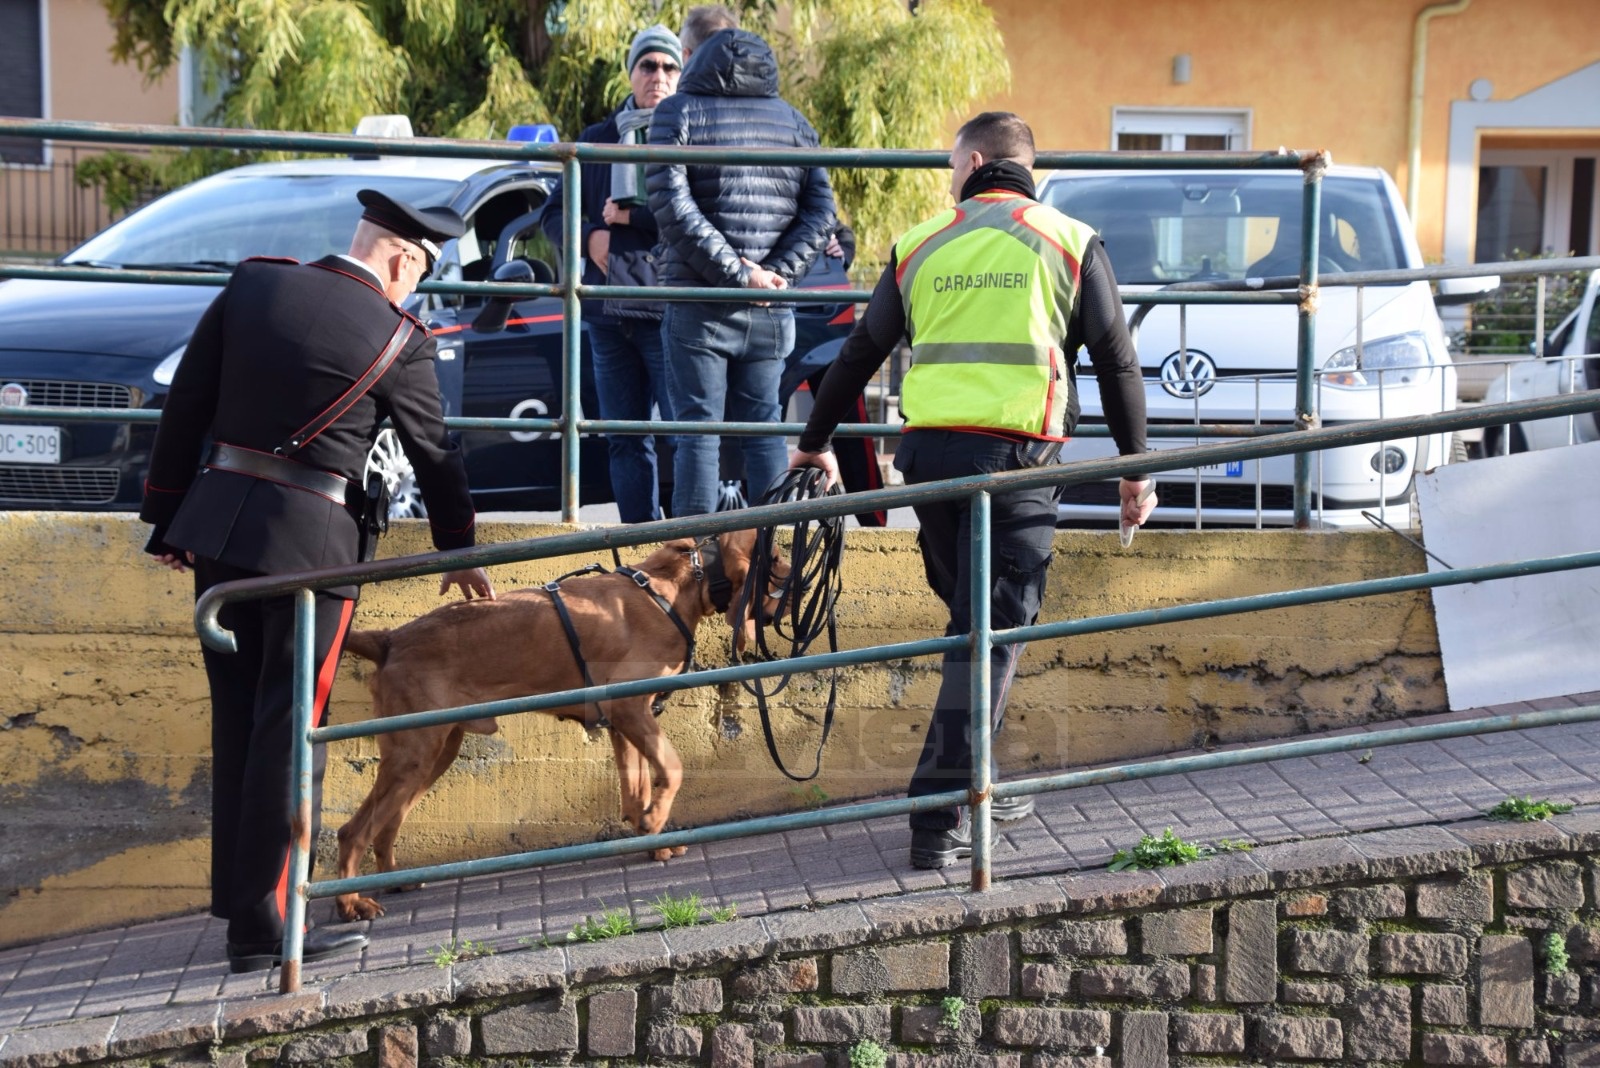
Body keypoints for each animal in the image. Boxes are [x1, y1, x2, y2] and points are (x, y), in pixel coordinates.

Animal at [332, 530, 787, 920]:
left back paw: (397, 880)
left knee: (386, 823)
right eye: (779, 559)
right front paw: (655, 822)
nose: (783, 606)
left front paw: (652, 837)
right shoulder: (628, 707)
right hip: (415, 751)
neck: (678, 585)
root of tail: (389, 639)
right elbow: (672, 769)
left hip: (435, 750)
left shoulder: (625, 722)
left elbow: (637, 788)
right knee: (352, 831)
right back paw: (352, 904)